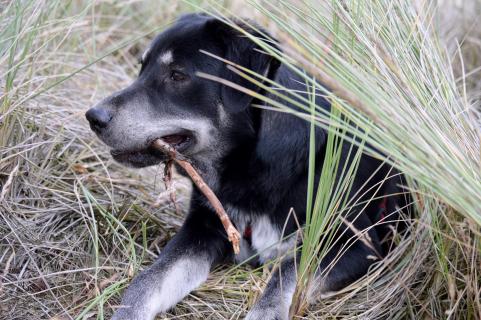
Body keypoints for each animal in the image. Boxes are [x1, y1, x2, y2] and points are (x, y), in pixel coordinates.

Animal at [84, 13, 406, 320]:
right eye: (142, 67)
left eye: (177, 75)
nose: (93, 117)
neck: (253, 168)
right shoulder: (204, 227)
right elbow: (148, 280)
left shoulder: (354, 243)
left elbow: (285, 274)